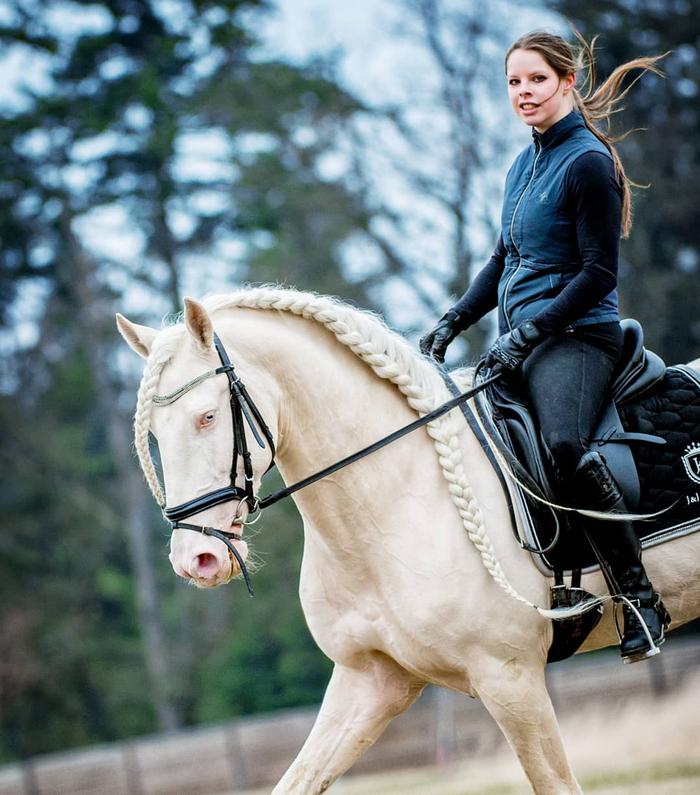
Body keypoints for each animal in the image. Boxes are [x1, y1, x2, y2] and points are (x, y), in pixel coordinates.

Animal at [116, 290, 700, 795]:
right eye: (156, 434)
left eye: (208, 416)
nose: (197, 560)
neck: (397, 495)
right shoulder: (371, 680)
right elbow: (297, 781)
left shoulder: (510, 678)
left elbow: (556, 784)